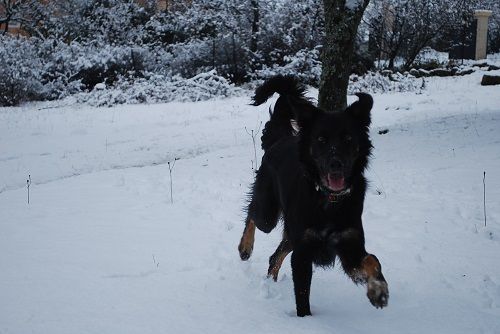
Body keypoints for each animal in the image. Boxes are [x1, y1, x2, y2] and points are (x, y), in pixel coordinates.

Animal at [236, 75, 388, 316]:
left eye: (348, 138)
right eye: (321, 139)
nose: (336, 164)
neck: (328, 200)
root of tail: (279, 139)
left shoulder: (349, 245)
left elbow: (372, 259)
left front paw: (378, 290)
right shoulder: (302, 253)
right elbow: (302, 294)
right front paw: (305, 320)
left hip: (291, 232)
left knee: (274, 256)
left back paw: (270, 283)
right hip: (269, 214)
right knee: (253, 213)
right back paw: (245, 248)